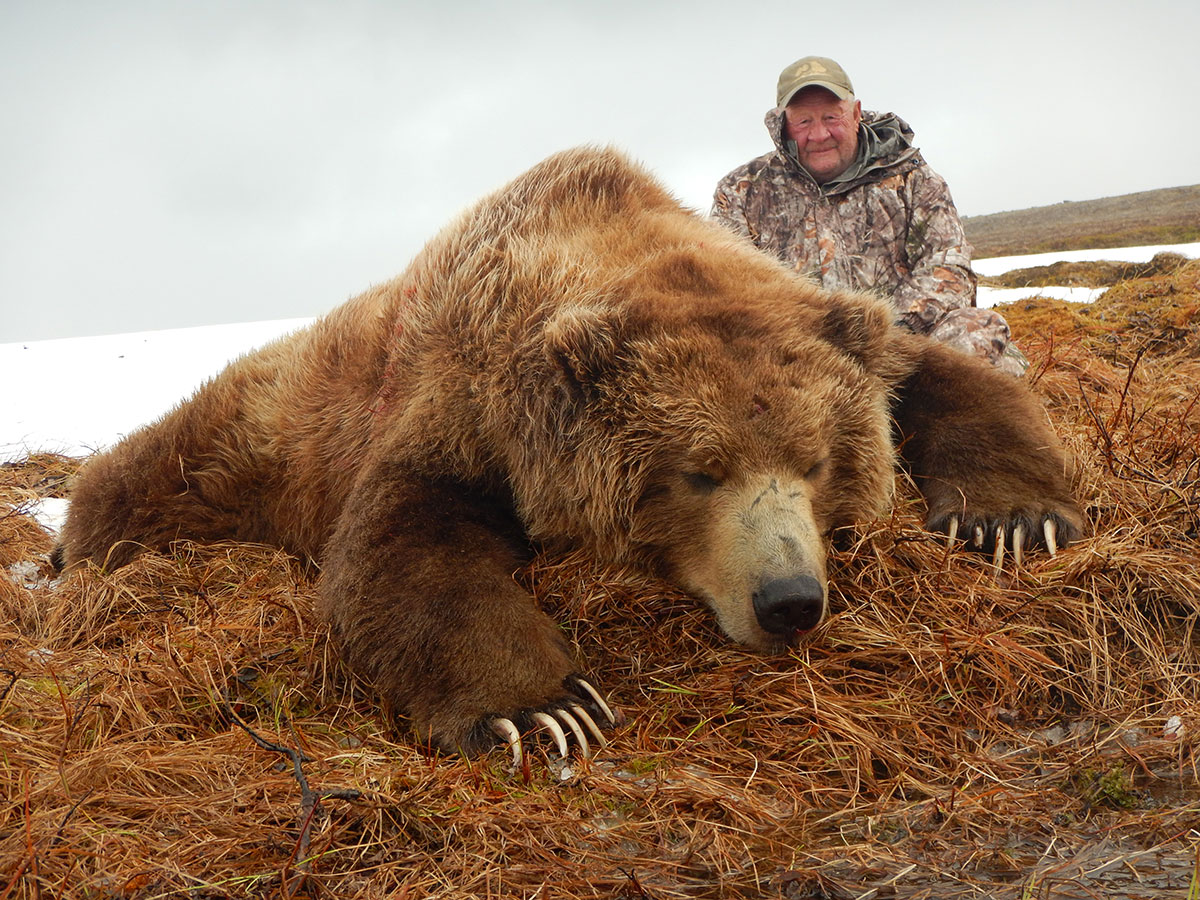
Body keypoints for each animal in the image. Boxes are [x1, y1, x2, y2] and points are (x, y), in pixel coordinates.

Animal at [58, 146, 1089, 763]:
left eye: (818, 462)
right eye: (700, 471)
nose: (791, 599)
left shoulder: (834, 331)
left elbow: (952, 380)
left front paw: (1015, 519)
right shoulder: (469, 404)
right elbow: (398, 541)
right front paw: (545, 706)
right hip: (251, 432)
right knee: (151, 470)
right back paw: (74, 542)